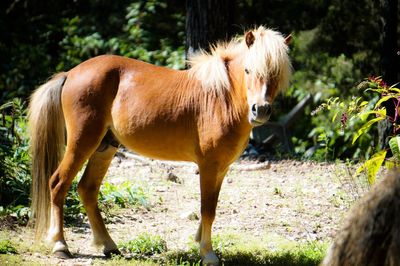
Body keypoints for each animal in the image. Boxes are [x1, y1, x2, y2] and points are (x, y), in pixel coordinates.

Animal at [28, 26, 290, 264]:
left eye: (276, 74)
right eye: (248, 69)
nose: (260, 110)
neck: (219, 98)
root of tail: (70, 73)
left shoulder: (221, 169)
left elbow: (210, 208)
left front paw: (199, 242)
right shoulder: (208, 166)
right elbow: (207, 209)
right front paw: (208, 254)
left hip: (105, 147)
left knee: (87, 189)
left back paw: (110, 246)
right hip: (82, 142)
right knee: (58, 184)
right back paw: (60, 246)